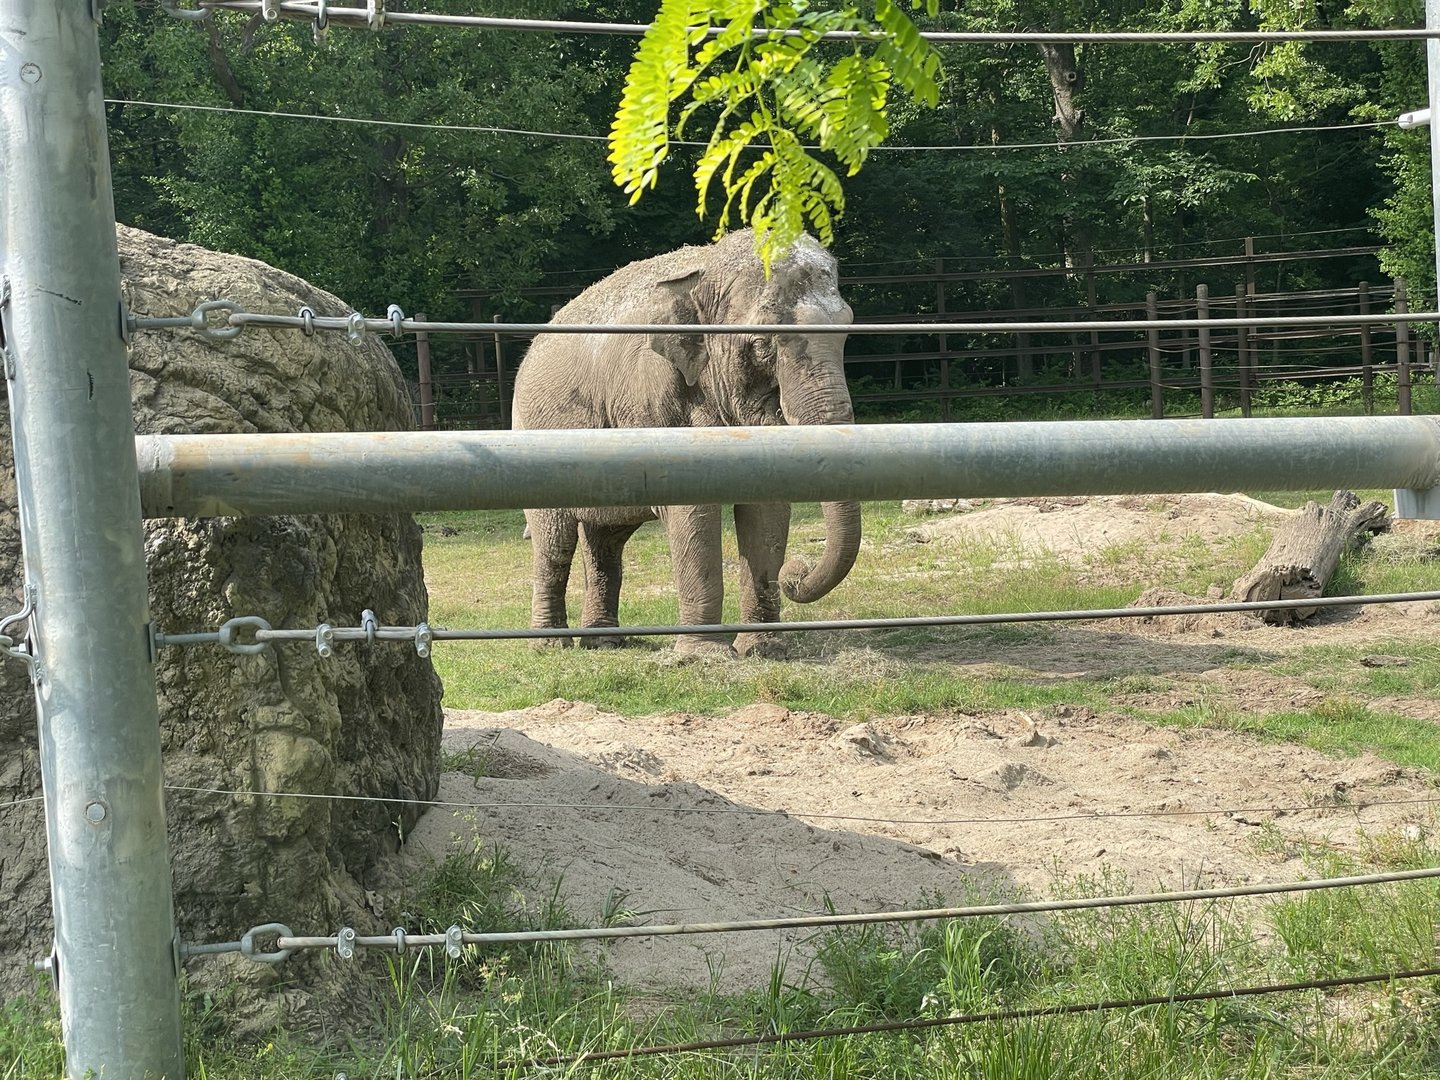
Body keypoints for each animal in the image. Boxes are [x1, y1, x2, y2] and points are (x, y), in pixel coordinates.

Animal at [510, 229, 859, 657]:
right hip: (533, 432)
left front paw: (763, 650)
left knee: (606, 541)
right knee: (554, 541)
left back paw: (605, 643)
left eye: (847, 333)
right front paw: (703, 655)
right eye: (762, 344)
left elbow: (766, 507)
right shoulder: (655, 394)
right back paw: (550, 646)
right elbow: (693, 511)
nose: (796, 571)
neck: (703, 273)